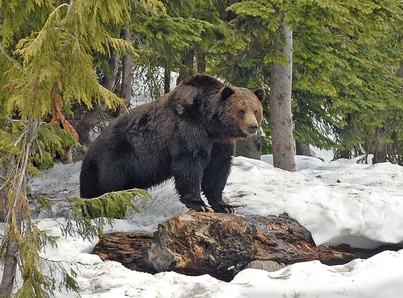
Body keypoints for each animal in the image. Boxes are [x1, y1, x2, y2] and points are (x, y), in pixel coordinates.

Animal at [80, 75, 266, 214]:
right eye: (241, 110)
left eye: (256, 110)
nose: (253, 126)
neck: (210, 124)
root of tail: (88, 151)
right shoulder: (187, 126)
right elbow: (190, 162)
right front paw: (199, 204)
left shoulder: (220, 143)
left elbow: (218, 168)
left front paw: (225, 205)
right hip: (113, 161)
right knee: (105, 192)